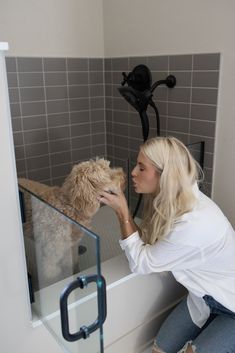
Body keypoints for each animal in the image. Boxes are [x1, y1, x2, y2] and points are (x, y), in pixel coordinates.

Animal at [19, 158, 126, 288]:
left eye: (109, 167)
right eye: (107, 175)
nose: (124, 174)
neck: (69, 205)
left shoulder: (72, 247)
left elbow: (73, 265)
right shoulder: (51, 256)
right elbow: (51, 275)